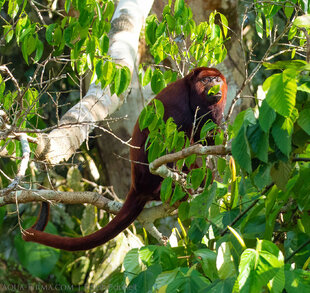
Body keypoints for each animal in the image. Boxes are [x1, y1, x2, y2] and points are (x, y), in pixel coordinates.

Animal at [21, 67, 225, 250]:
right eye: (207, 80)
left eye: (217, 79)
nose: (215, 84)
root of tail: (137, 186)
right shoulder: (178, 101)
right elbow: (173, 139)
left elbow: (208, 137)